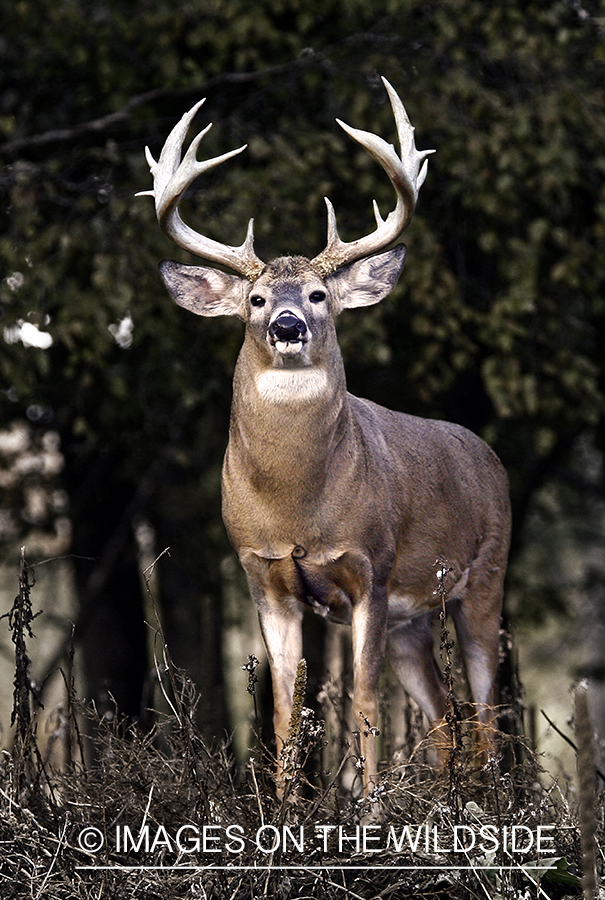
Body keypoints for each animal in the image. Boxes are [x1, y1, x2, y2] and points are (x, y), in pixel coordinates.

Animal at [139, 77, 512, 796]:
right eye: (255, 300)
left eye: (317, 295)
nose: (286, 325)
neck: (297, 502)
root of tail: (489, 456)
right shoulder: (263, 575)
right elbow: (285, 712)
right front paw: (285, 809)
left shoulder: (371, 565)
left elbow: (363, 704)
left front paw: (366, 807)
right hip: (413, 621)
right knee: (443, 717)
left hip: (484, 579)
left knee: (484, 714)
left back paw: (487, 804)